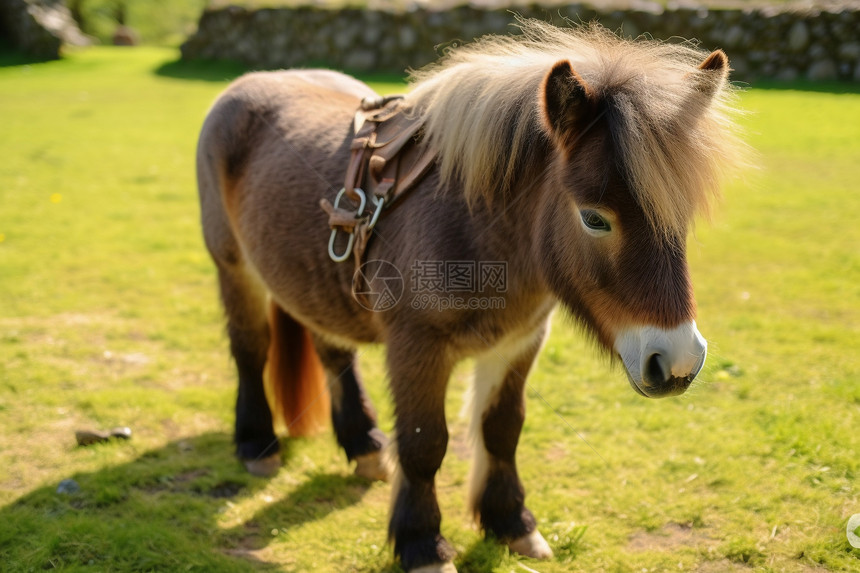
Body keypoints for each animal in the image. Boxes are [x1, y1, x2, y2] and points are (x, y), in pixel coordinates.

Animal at [195, 20, 744, 568]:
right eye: (594, 218)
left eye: (681, 216)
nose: (678, 361)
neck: (474, 225)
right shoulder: (416, 349)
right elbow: (424, 444)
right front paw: (422, 543)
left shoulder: (519, 342)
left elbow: (501, 429)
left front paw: (511, 523)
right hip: (233, 268)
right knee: (251, 348)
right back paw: (258, 445)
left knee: (333, 351)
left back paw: (364, 446)